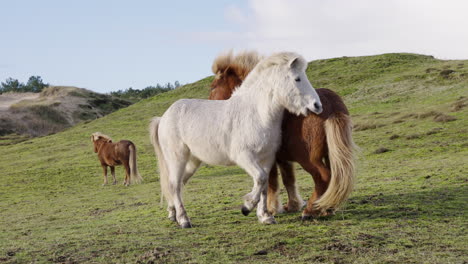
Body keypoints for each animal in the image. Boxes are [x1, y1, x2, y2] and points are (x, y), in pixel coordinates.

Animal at [150, 51, 322, 227]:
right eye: (297, 78)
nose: (317, 105)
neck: (257, 114)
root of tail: (163, 117)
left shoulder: (266, 159)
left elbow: (264, 184)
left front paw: (265, 216)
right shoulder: (244, 156)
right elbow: (260, 178)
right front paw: (247, 206)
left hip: (193, 161)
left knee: (178, 184)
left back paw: (173, 213)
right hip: (177, 158)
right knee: (174, 184)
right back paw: (184, 219)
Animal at [210, 51, 356, 219]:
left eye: (213, 87)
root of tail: (331, 106)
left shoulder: (268, 158)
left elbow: (271, 182)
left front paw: (270, 208)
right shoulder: (283, 159)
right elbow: (288, 179)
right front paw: (292, 205)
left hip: (309, 159)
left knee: (323, 177)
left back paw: (311, 210)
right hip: (331, 155)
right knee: (335, 177)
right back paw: (326, 208)